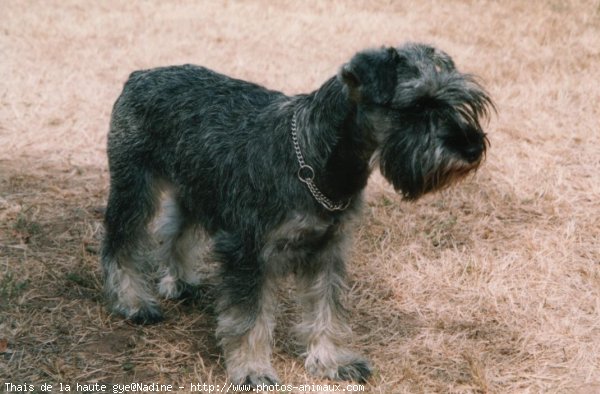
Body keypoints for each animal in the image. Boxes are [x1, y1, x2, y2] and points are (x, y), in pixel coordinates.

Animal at [101, 43, 492, 384]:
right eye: (417, 105)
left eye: (461, 100)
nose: (473, 148)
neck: (317, 157)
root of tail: (140, 75)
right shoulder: (248, 251)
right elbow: (249, 318)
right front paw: (252, 369)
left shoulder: (328, 251)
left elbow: (326, 311)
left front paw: (331, 362)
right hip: (135, 189)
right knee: (120, 243)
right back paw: (133, 302)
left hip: (196, 191)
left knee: (176, 232)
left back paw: (178, 281)